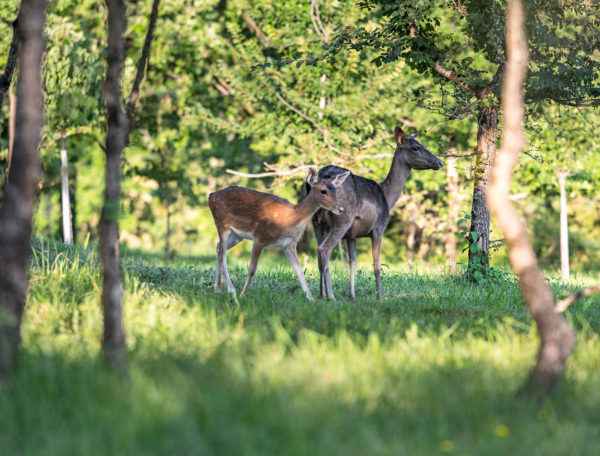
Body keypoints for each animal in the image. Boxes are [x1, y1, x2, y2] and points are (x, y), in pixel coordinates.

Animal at [209, 169, 350, 302]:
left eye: (335, 190)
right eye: (323, 191)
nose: (341, 209)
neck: (290, 219)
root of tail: (211, 196)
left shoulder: (289, 245)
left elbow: (299, 271)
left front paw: (311, 299)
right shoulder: (260, 237)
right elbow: (252, 269)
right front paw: (243, 295)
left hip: (237, 236)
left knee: (218, 248)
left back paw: (217, 288)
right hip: (222, 224)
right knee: (223, 254)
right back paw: (231, 290)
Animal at [310, 126, 440, 302]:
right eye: (416, 147)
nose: (439, 162)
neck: (387, 197)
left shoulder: (352, 235)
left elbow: (353, 262)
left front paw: (352, 295)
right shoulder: (378, 228)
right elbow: (377, 265)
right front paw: (380, 296)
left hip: (316, 222)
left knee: (318, 251)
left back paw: (321, 294)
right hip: (342, 219)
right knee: (324, 250)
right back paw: (331, 296)